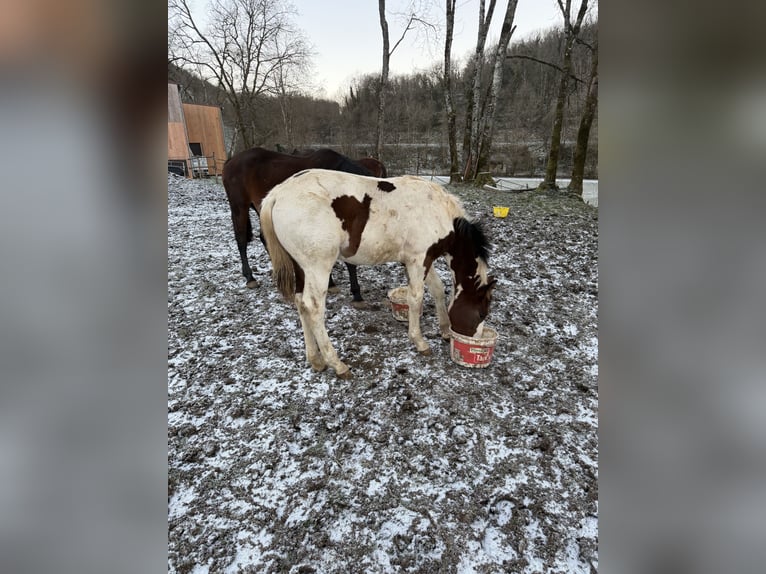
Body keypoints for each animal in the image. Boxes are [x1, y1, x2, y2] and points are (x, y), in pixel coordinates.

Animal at [260, 168, 496, 378]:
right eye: (481, 313)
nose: (471, 338)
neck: (439, 212)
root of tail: (278, 193)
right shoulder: (418, 259)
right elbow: (416, 298)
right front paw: (419, 341)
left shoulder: (423, 260)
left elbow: (438, 290)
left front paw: (445, 330)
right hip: (318, 267)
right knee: (313, 308)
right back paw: (337, 363)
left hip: (301, 268)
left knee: (300, 303)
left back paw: (316, 360)